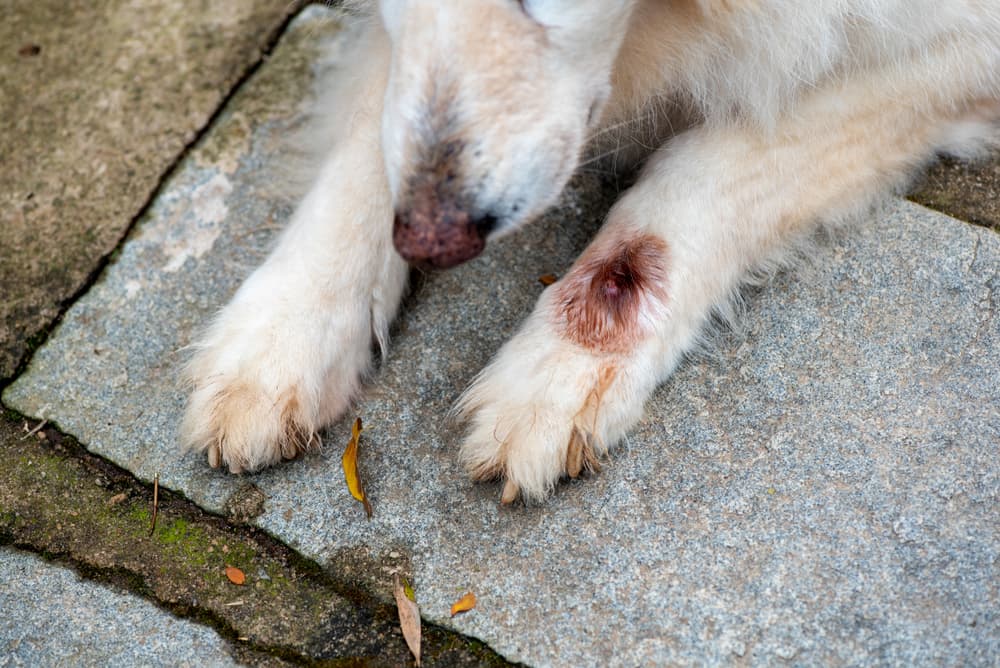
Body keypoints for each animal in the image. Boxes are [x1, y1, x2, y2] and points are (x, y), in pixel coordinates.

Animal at [180, 0, 1000, 500]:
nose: (432, 241)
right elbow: (373, 139)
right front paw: (284, 332)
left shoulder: (955, 46)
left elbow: (711, 162)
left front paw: (559, 370)